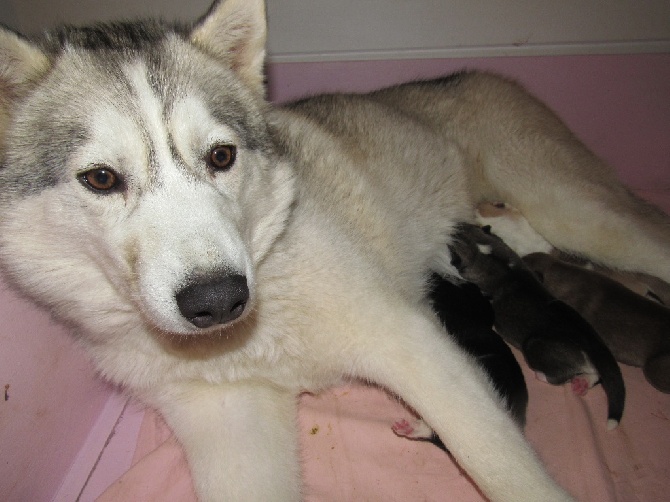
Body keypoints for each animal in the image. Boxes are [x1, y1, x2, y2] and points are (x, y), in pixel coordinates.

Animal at [448, 226, 628, 430]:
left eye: (455, 237)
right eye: (462, 225)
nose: (453, 227)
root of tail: (593, 343)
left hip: (536, 345)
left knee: (560, 375)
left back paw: (544, 376)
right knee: (596, 373)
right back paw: (582, 383)